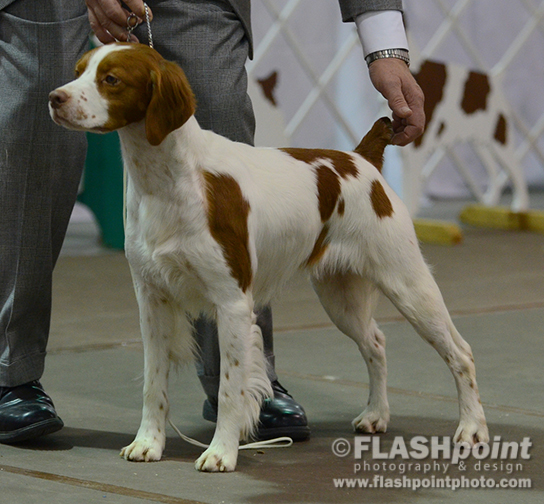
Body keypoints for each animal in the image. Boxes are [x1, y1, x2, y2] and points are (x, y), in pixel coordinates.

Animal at [49, 43, 488, 472]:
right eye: (78, 70)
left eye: (111, 79)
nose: (55, 98)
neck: (169, 180)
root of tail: (361, 158)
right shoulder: (152, 299)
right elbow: (152, 383)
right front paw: (147, 444)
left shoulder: (231, 302)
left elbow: (231, 387)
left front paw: (221, 453)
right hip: (340, 295)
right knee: (376, 343)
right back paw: (376, 414)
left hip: (408, 282)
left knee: (462, 353)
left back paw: (472, 429)